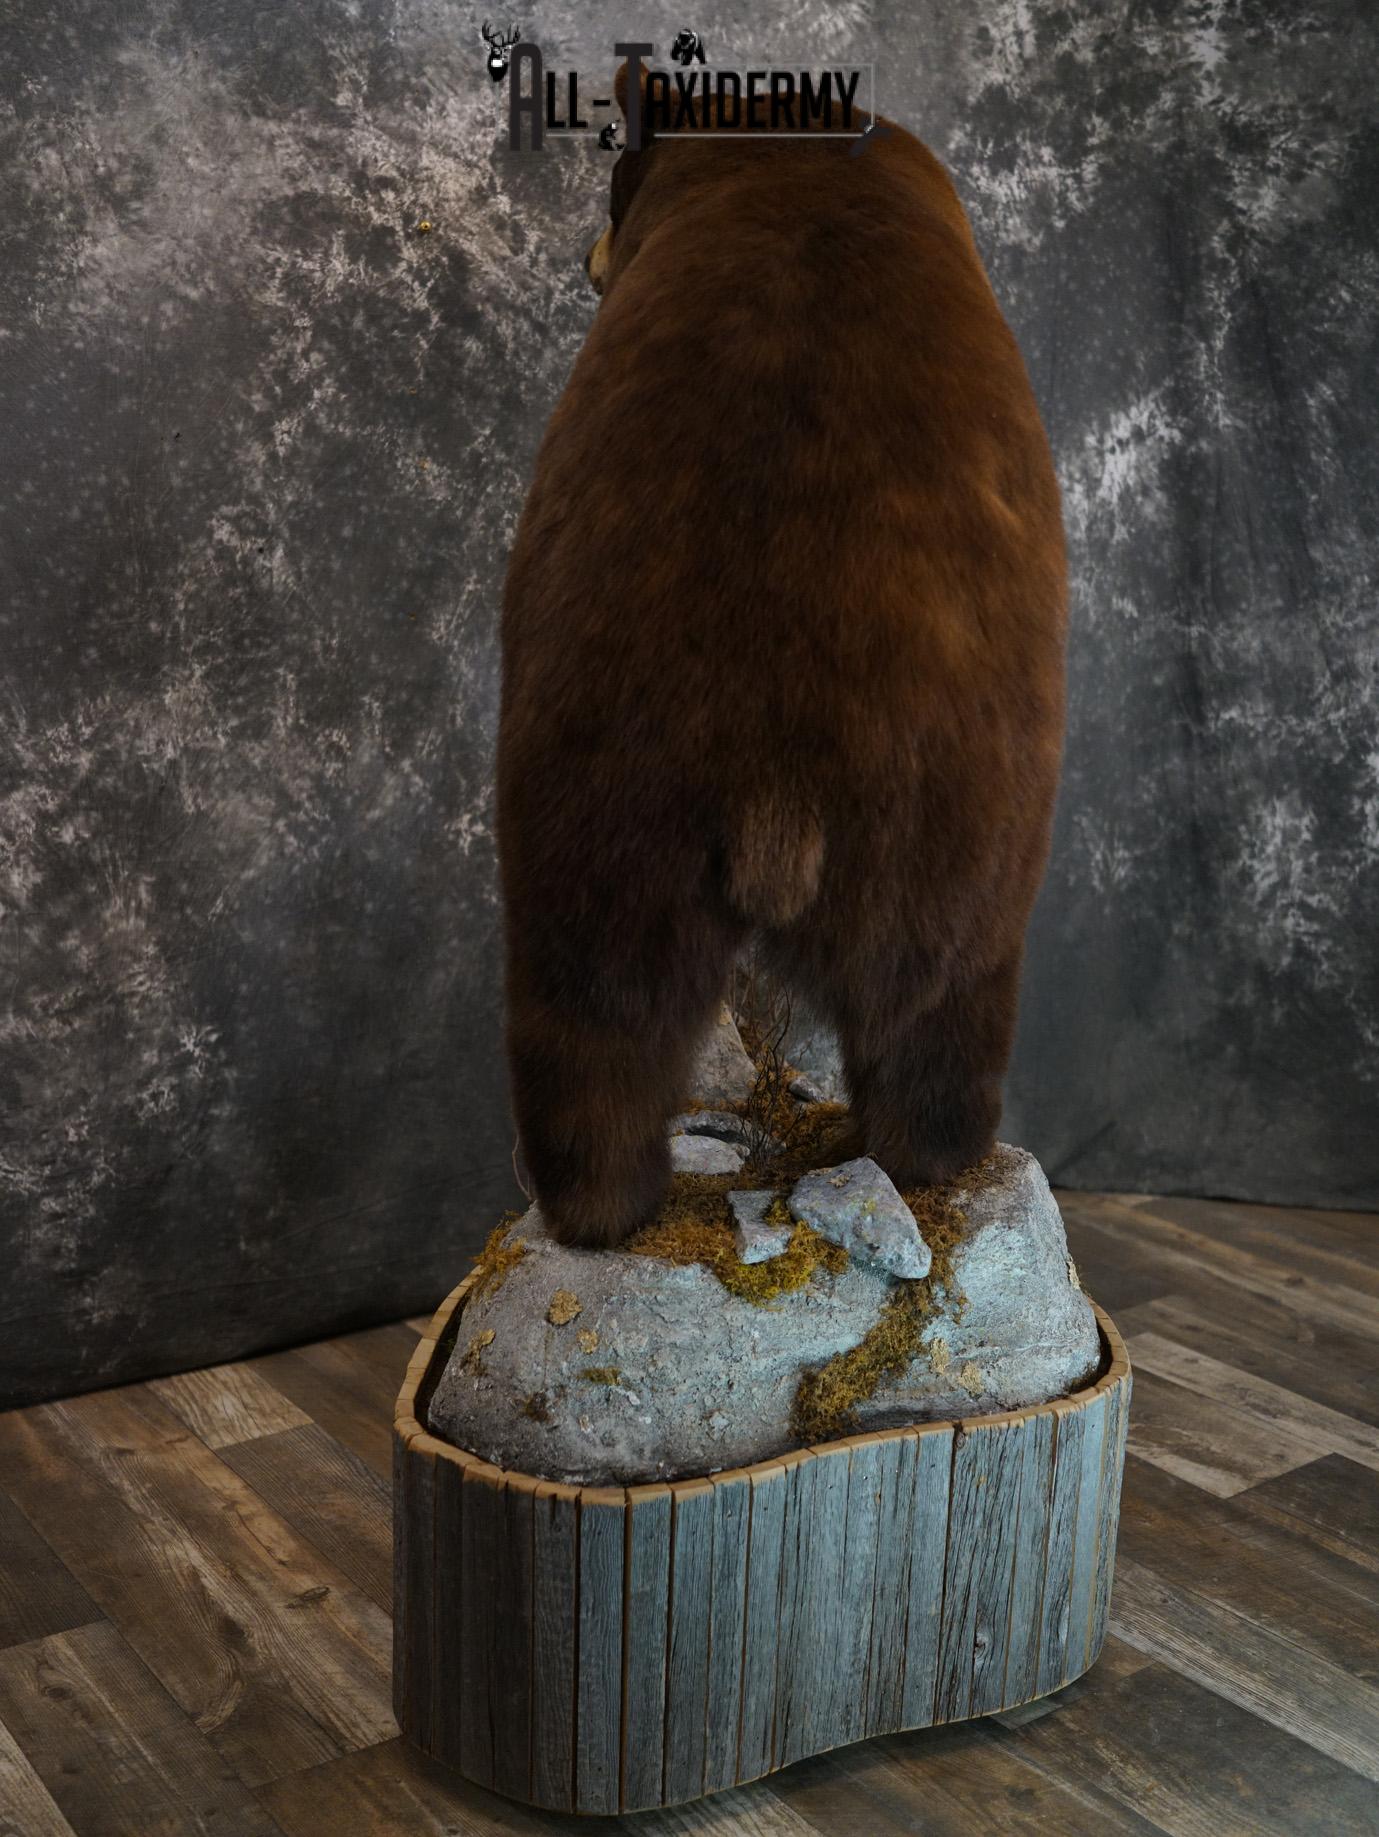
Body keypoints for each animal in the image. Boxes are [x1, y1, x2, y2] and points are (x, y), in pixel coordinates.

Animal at [494, 60, 1067, 1249]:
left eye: (609, 191)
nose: (586, 255)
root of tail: (776, 768)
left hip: (599, 768)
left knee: (592, 1002)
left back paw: (589, 1201)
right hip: (962, 802)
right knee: (936, 997)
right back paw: (931, 1154)